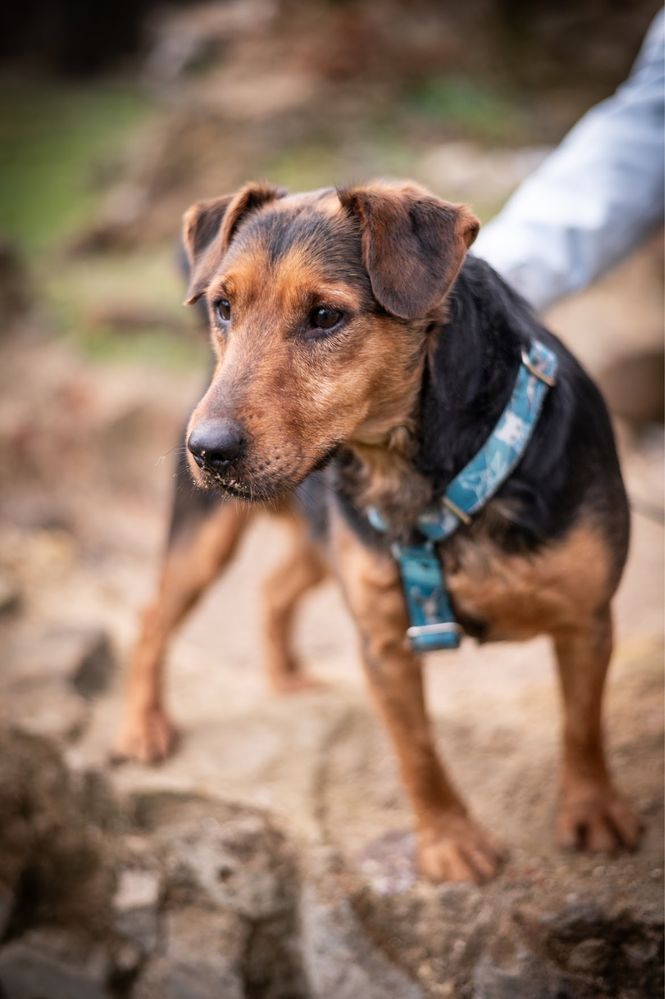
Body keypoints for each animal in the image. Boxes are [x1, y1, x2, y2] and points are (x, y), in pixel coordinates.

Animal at [116, 180, 640, 884]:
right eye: (224, 308)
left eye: (324, 317)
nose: (207, 450)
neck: (413, 473)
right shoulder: (384, 643)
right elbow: (418, 755)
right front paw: (451, 843)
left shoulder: (588, 619)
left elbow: (582, 725)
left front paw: (593, 810)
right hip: (208, 540)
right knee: (154, 618)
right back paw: (143, 725)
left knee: (273, 590)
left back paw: (286, 678)